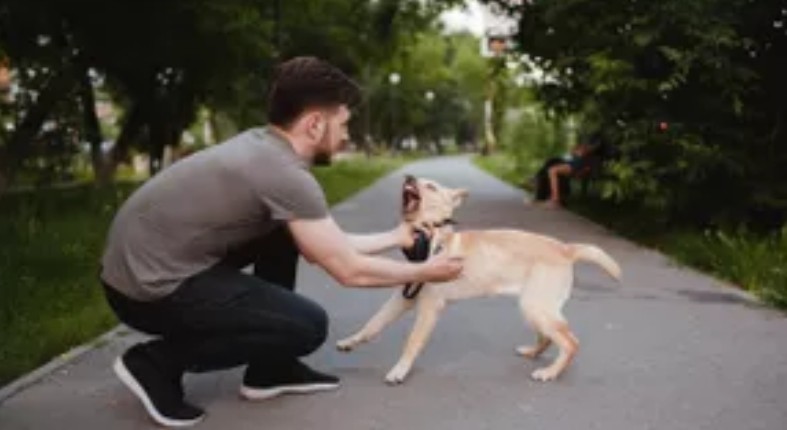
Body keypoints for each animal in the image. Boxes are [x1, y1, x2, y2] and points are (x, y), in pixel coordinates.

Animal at [338, 176, 620, 384]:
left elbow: (412, 341)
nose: (408, 177)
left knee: (570, 342)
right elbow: (374, 323)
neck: (430, 238)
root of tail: (565, 248)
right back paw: (532, 353)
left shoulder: (429, 307)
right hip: (535, 307)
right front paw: (351, 341)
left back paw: (550, 372)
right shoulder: (404, 297)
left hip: (535, 306)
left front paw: (400, 370)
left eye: (431, 186)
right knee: (550, 336)